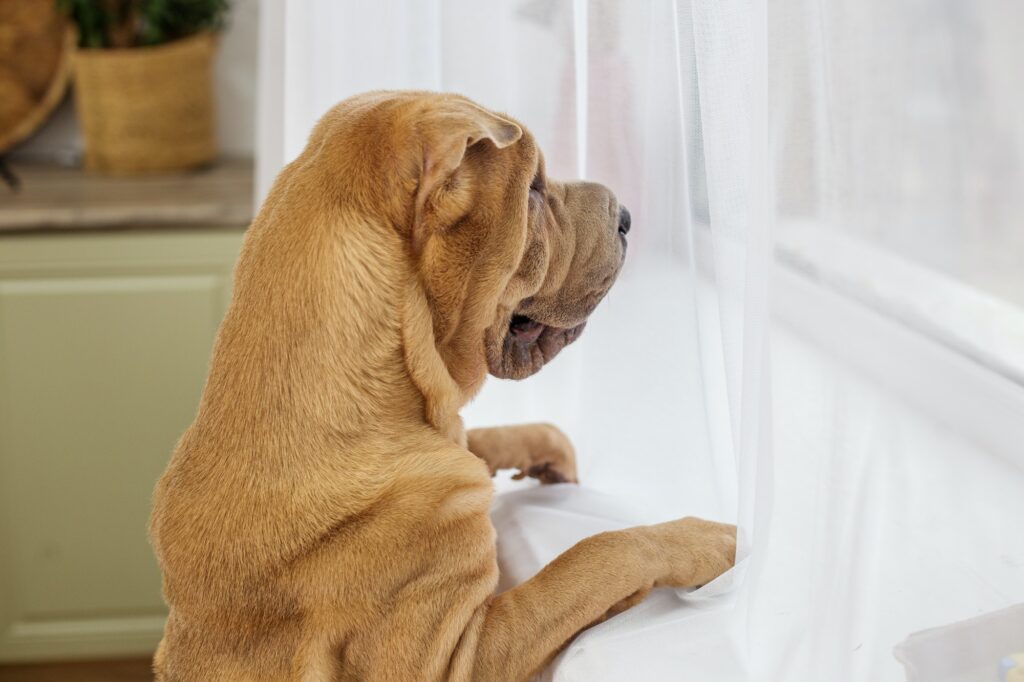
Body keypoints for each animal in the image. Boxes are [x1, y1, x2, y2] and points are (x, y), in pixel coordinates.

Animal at [148, 91, 733, 679]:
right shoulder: (453, 656)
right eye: (533, 191)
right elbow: (596, 556)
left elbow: (490, 440)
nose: (628, 217)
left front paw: (551, 456)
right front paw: (711, 538)